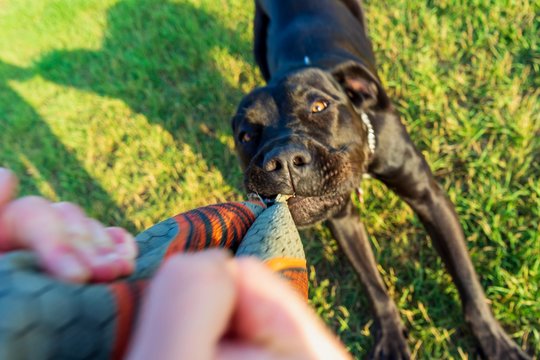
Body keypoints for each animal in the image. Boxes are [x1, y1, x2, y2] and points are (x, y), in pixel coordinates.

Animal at [230, 1, 528, 358]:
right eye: (246, 136)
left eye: (319, 106)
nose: (284, 159)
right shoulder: (343, 219)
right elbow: (372, 284)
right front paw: (390, 336)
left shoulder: (429, 198)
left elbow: (466, 279)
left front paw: (494, 341)